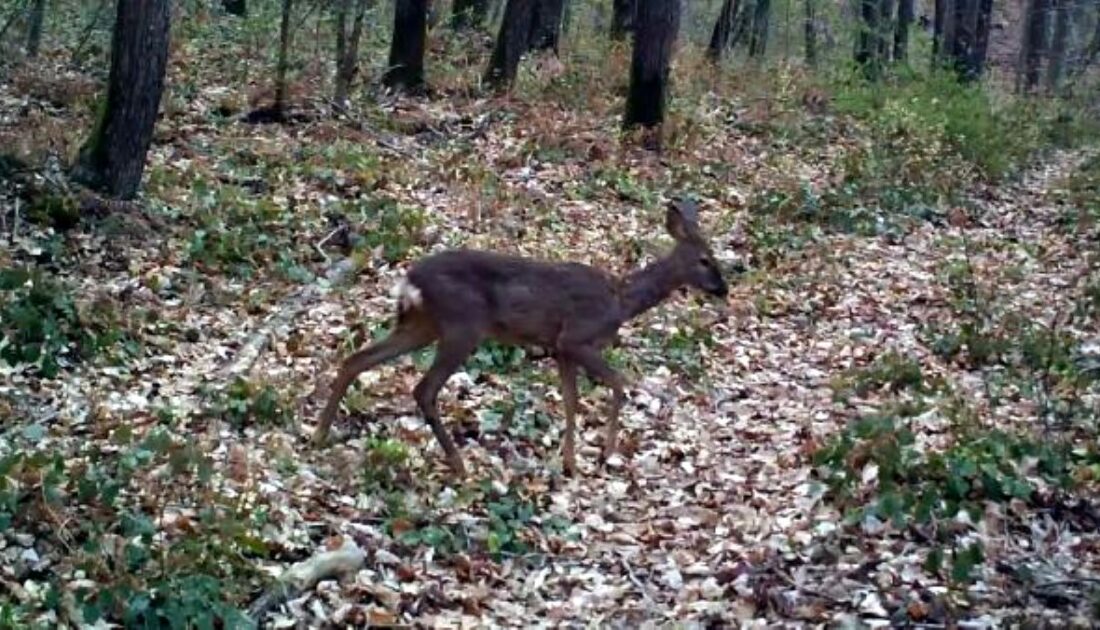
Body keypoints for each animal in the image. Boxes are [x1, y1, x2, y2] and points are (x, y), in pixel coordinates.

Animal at [314, 199, 726, 474]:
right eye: (705, 259)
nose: (723, 288)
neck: (621, 300)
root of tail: (409, 281)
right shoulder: (577, 338)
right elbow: (619, 383)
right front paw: (606, 453)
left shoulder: (560, 349)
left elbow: (571, 401)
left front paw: (570, 462)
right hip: (462, 326)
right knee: (423, 389)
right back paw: (459, 464)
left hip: (421, 325)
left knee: (356, 359)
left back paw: (320, 434)